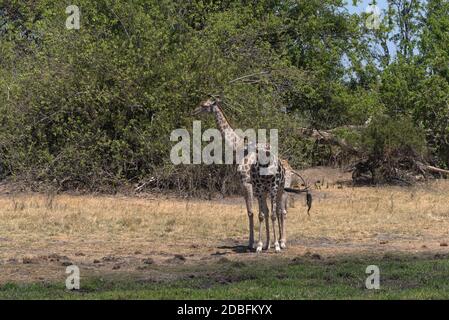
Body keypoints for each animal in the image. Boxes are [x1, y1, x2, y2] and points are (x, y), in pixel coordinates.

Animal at [190, 96, 290, 251]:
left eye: (204, 105)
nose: (193, 111)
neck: (238, 147)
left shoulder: (246, 182)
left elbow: (250, 212)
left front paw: (251, 243)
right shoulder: (251, 186)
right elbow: (259, 212)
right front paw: (260, 243)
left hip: (281, 188)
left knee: (281, 211)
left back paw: (282, 242)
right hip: (268, 189)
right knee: (274, 211)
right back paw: (270, 243)